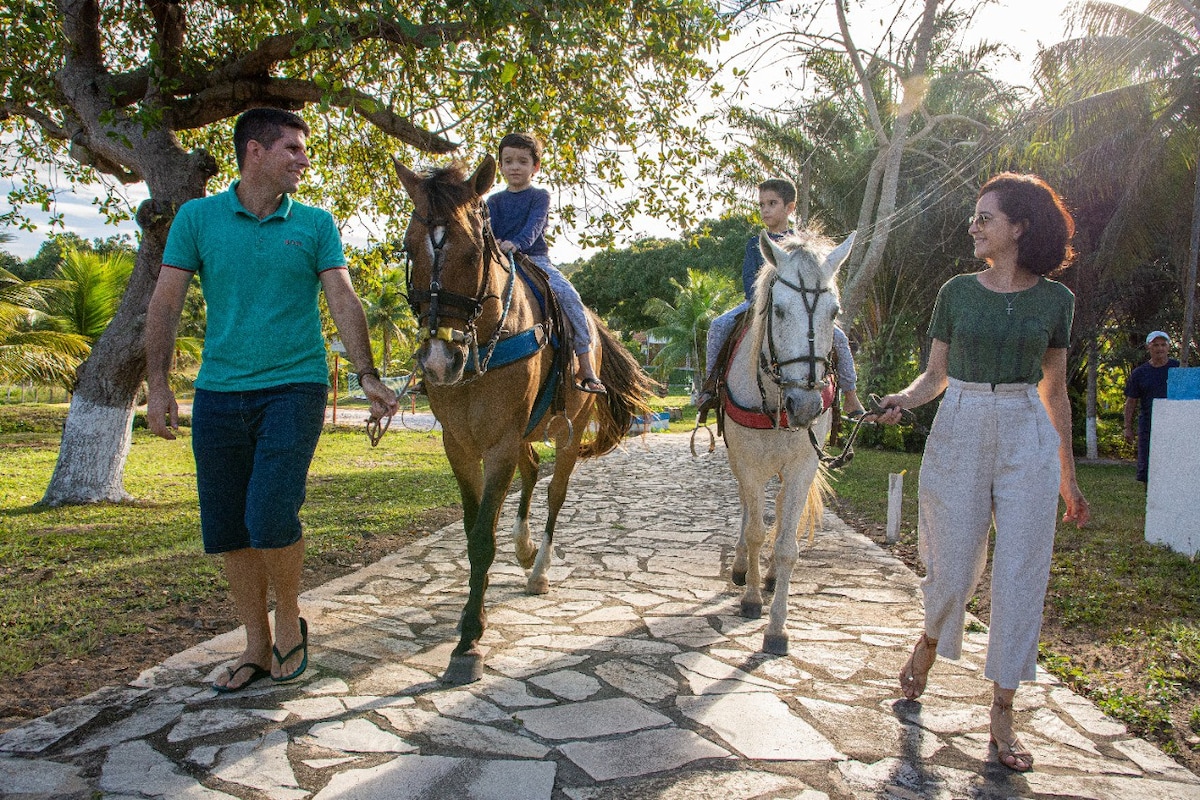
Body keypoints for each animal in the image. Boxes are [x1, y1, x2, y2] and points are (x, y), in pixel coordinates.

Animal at [393, 155, 657, 681]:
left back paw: (539, 568)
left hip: (567, 433)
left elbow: (481, 539)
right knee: (532, 472)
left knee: (554, 491)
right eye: (409, 249)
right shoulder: (459, 444)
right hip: (523, 434)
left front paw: (469, 642)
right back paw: (525, 547)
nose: (439, 361)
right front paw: (474, 616)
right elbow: (475, 527)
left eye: (475, 252)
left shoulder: (499, 444)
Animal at [720, 227, 854, 652]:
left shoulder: (803, 465)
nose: (807, 404)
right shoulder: (748, 463)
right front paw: (750, 599)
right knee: (748, 511)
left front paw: (777, 626)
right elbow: (756, 532)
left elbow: (786, 546)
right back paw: (742, 568)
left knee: (778, 510)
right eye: (777, 310)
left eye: (834, 312)